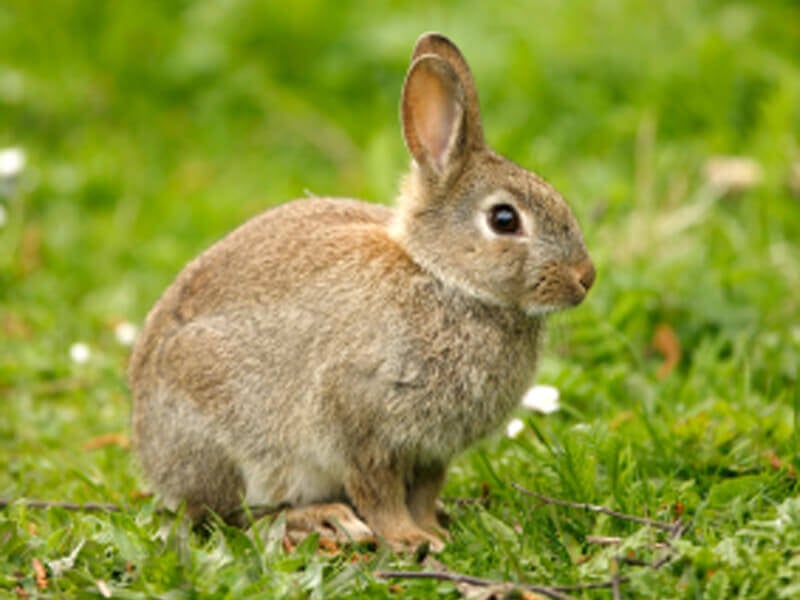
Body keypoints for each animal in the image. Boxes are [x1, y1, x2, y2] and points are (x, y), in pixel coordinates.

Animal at [130, 30, 592, 552]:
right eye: (504, 219)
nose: (585, 277)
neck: (442, 278)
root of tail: (147, 443)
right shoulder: (363, 428)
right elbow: (379, 492)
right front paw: (411, 540)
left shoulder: (431, 450)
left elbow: (424, 491)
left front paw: (433, 530)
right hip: (228, 437)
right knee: (236, 517)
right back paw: (324, 520)